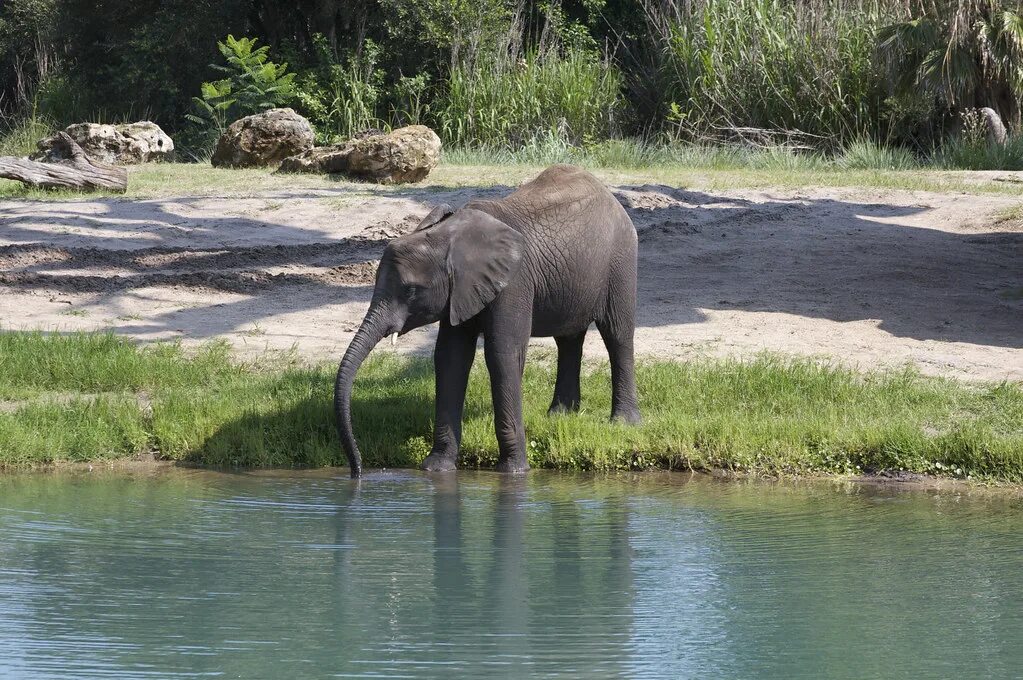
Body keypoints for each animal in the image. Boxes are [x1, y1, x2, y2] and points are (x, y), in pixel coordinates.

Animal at [335, 163, 638, 476]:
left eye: (410, 290)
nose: (357, 472)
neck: (447, 237)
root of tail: (610, 197)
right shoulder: (459, 291)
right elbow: (451, 356)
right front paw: (436, 469)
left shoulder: (514, 282)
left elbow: (502, 354)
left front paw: (514, 472)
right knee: (568, 338)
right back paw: (559, 417)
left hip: (621, 259)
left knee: (617, 334)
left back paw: (623, 422)